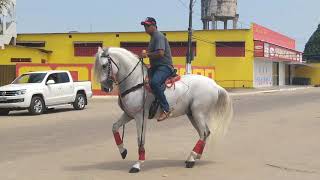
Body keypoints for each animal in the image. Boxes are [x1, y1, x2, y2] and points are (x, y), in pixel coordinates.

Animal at [93, 47, 232, 174]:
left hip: (198, 113)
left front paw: (137, 164)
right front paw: (123, 151)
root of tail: (215, 85)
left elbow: (140, 140)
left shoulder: (140, 117)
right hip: (192, 114)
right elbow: (114, 127)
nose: (105, 88)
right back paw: (195, 157)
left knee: (203, 133)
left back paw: (191, 159)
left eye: (104, 65)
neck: (135, 81)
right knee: (205, 133)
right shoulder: (129, 114)